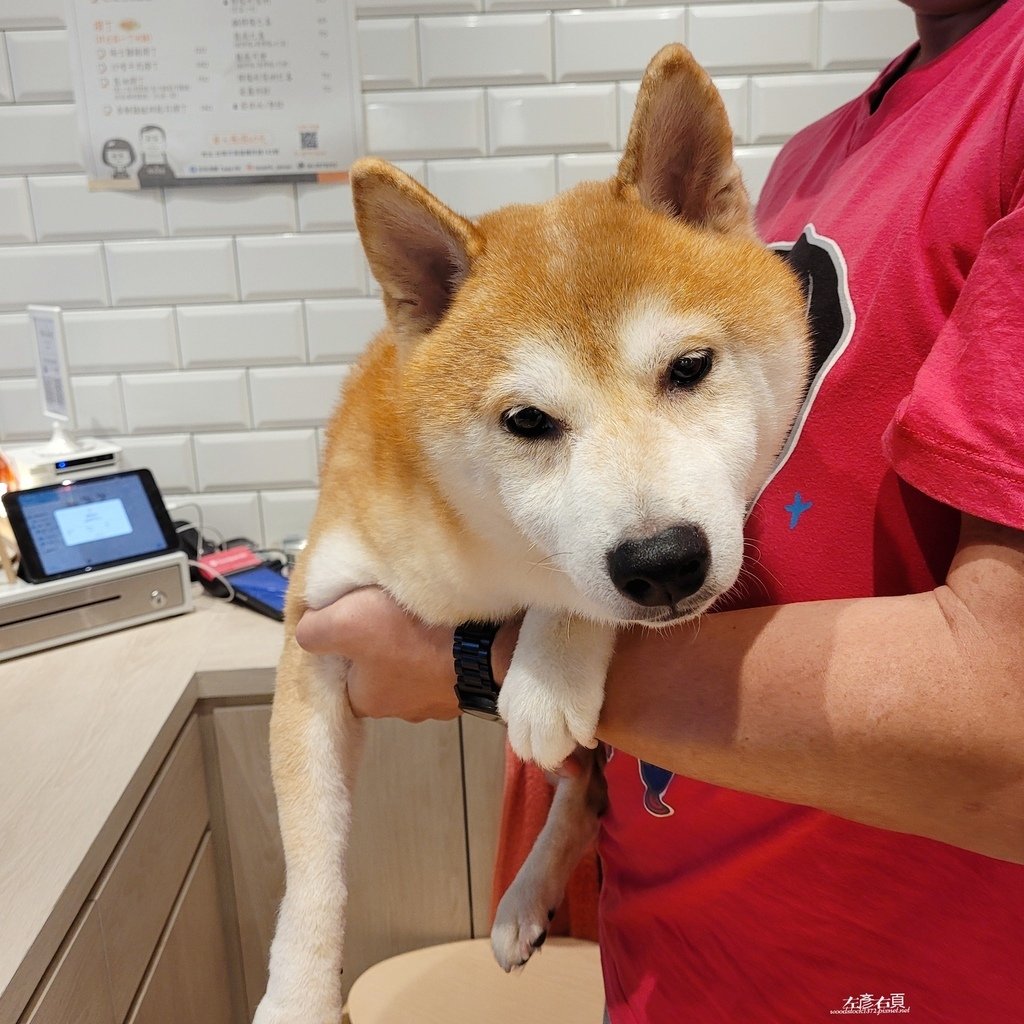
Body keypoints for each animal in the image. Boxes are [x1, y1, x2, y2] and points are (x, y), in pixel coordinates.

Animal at [253, 44, 806, 1024]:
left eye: (690, 368)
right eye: (526, 422)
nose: (663, 563)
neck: (485, 561)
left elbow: (571, 602)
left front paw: (550, 657)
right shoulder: (315, 628)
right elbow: (312, 865)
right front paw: (299, 997)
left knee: (582, 790)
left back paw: (524, 893)